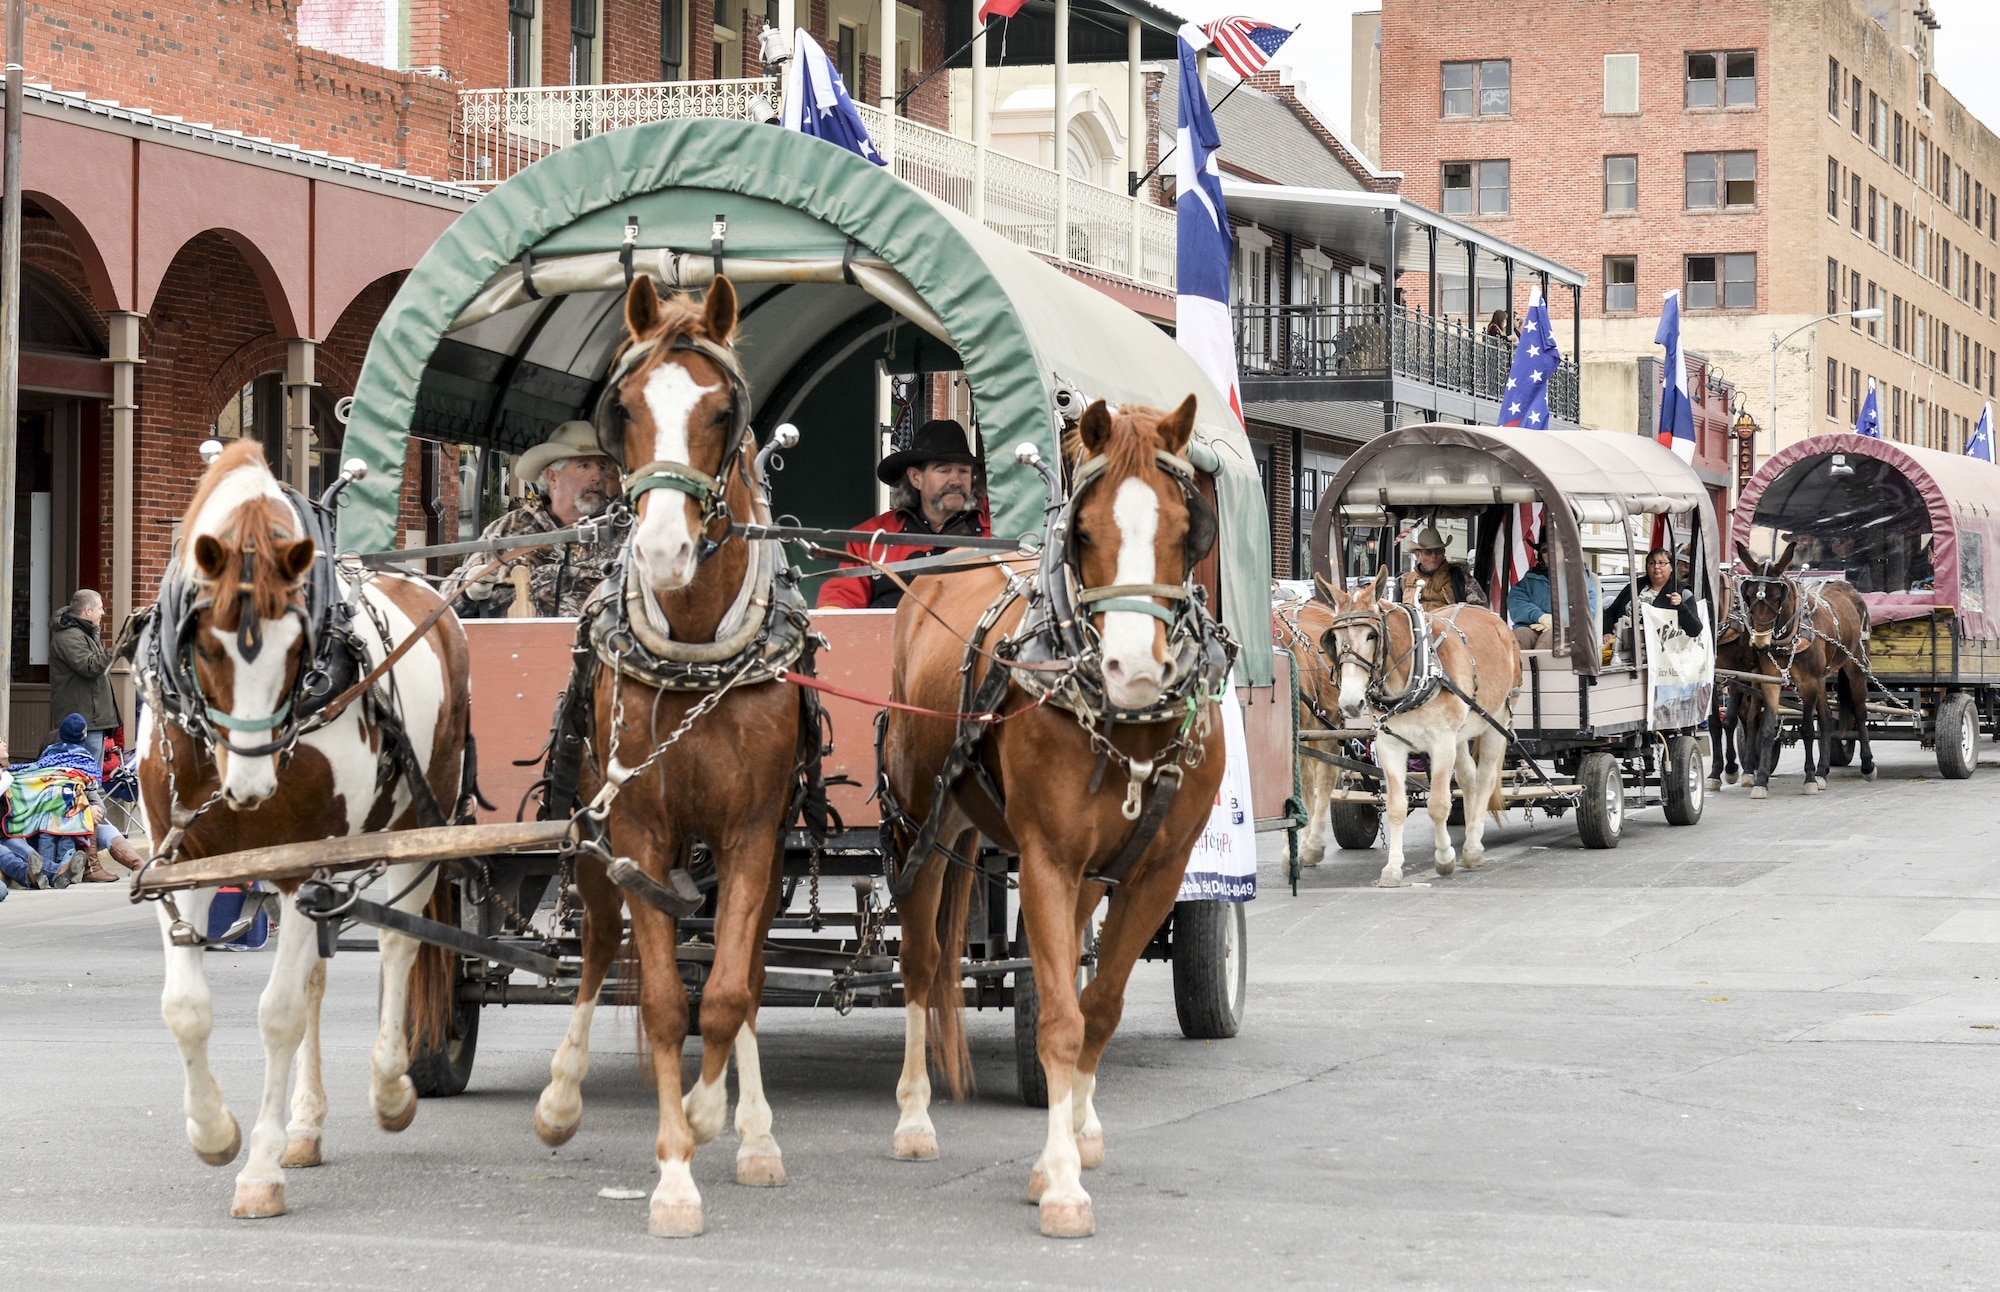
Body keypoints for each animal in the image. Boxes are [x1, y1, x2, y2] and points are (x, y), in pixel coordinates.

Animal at [137, 440, 472, 1224]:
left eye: (299, 648)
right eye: (204, 643)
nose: (251, 786)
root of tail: (428, 591)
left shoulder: (299, 864)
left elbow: (280, 1013)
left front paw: (258, 1171)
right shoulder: (182, 860)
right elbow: (185, 1009)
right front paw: (215, 1132)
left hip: (418, 824)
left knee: (399, 945)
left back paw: (391, 1088)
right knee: (322, 971)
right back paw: (305, 1128)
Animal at [536, 278, 808, 1240]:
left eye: (723, 411)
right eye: (625, 408)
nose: (660, 549)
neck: (693, 648)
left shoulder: (753, 832)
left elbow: (724, 993)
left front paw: (707, 1113)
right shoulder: (637, 832)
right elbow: (659, 1000)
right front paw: (675, 1176)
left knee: (749, 971)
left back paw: (754, 1130)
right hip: (592, 841)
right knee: (593, 949)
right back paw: (561, 1097)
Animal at [884, 398, 1224, 1248]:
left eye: (1185, 528)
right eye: (1086, 532)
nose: (1135, 671)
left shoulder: (1155, 870)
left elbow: (1096, 1007)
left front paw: (1065, 1150)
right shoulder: (1043, 859)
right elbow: (1059, 1021)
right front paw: (1064, 1187)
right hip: (920, 827)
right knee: (921, 962)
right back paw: (913, 1120)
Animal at [1320, 576, 1520, 892]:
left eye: (1371, 636)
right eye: (1335, 639)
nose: (1351, 702)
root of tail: (1492, 616)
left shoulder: (1441, 742)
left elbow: (1438, 804)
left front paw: (1445, 858)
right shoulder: (1389, 745)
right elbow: (1396, 806)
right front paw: (1392, 868)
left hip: (1497, 720)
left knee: (1486, 778)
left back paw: (1472, 848)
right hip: (1462, 734)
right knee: (1468, 779)